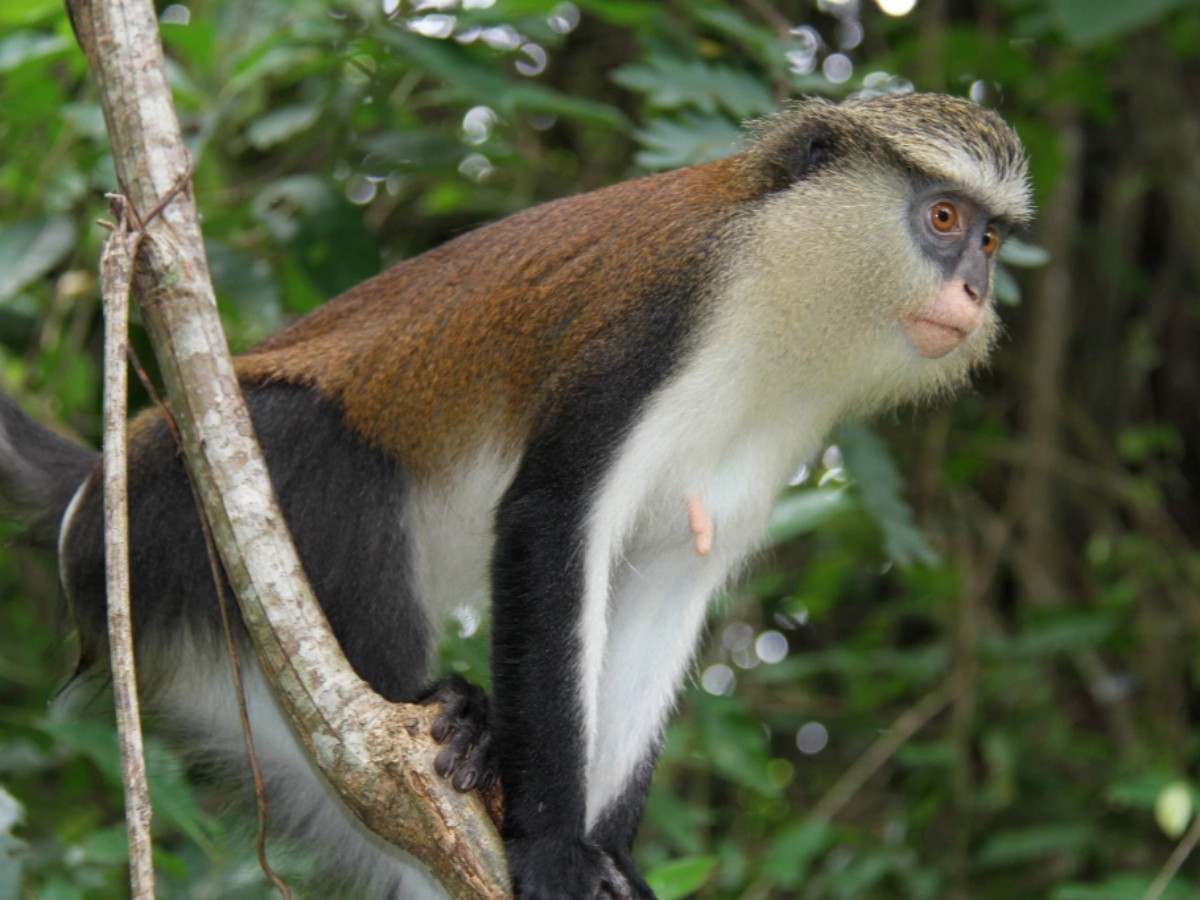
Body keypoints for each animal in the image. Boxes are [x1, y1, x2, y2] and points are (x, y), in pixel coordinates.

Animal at [0, 92, 1030, 898]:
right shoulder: (659, 327)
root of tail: (95, 487)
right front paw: (553, 849)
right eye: (943, 220)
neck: (784, 285)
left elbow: (670, 574)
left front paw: (609, 855)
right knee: (317, 448)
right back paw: (443, 714)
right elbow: (551, 517)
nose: (975, 290)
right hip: (173, 503)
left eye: (989, 237)